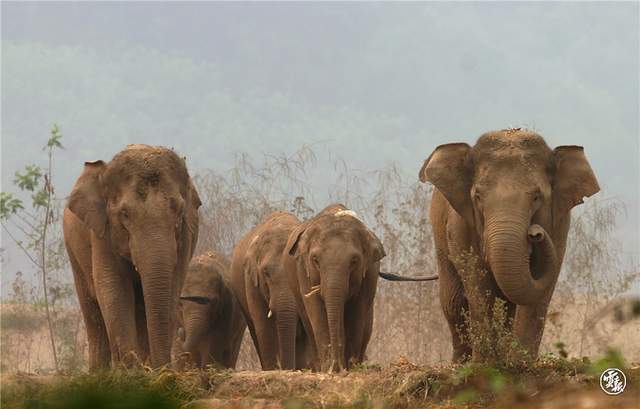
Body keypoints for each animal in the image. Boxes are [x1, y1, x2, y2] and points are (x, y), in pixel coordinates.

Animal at [62, 143, 201, 366]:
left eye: (179, 211)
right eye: (124, 214)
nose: (166, 367)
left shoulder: (186, 237)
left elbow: (172, 287)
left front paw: (146, 369)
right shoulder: (102, 233)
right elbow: (113, 289)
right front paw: (130, 369)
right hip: (74, 254)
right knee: (92, 312)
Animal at [284, 203, 384, 370]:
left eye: (354, 261)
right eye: (315, 259)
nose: (336, 366)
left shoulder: (370, 273)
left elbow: (357, 312)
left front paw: (350, 367)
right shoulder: (303, 270)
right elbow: (316, 310)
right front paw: (328, 369)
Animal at [420, 129, 600, 362]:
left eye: (537, 196)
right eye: (478, 196)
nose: (535, 233)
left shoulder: (559, 225)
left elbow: (539, 291)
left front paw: (520, 362)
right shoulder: (461, 225)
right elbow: (477, 282)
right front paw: (485, 363)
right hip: (440, 238)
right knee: (454, 302)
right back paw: (461, 362)